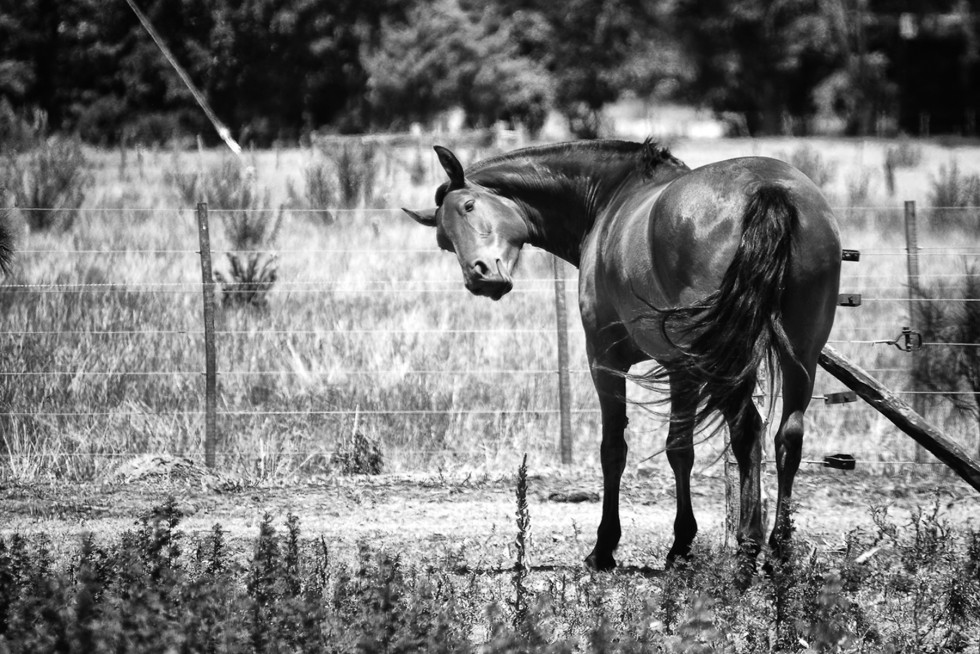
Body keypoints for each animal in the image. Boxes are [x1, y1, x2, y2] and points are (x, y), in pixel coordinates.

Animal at [404, 140, 844, 584]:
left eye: (470, 206)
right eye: (444, 241)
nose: (480, 277)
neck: (612, 199)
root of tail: (769, 189)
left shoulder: (604, 358)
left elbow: (613, 449)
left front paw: (604, 548)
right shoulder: (680, 368)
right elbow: (679, 449)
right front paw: (680, 547)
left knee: (748, 431)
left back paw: (748, 552)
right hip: (799, 353)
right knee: (787, 437)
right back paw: (779, 553)